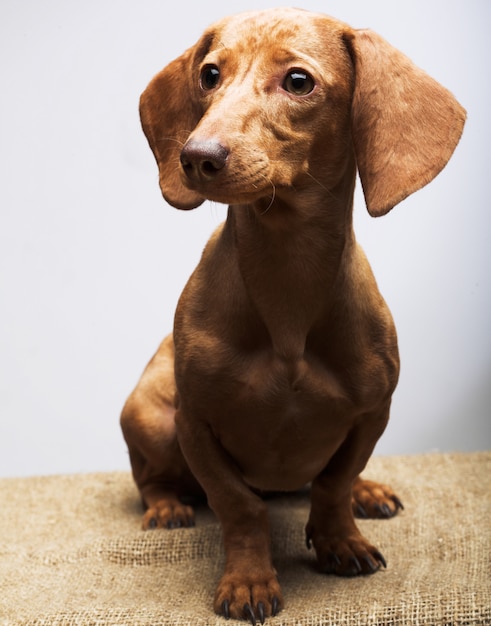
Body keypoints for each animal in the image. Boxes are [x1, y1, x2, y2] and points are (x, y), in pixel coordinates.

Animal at [121, 8, 468, 620]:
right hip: (146, 416)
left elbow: (333, 485)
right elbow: (239, 507)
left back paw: (368, 493)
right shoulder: (195, 424)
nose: (196, 156)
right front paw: (250, 581)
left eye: (299, 81)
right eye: (210, 74)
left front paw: (340, 539)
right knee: (153, 479)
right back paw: (166, 506)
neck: (288, 279)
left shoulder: (371, 414)